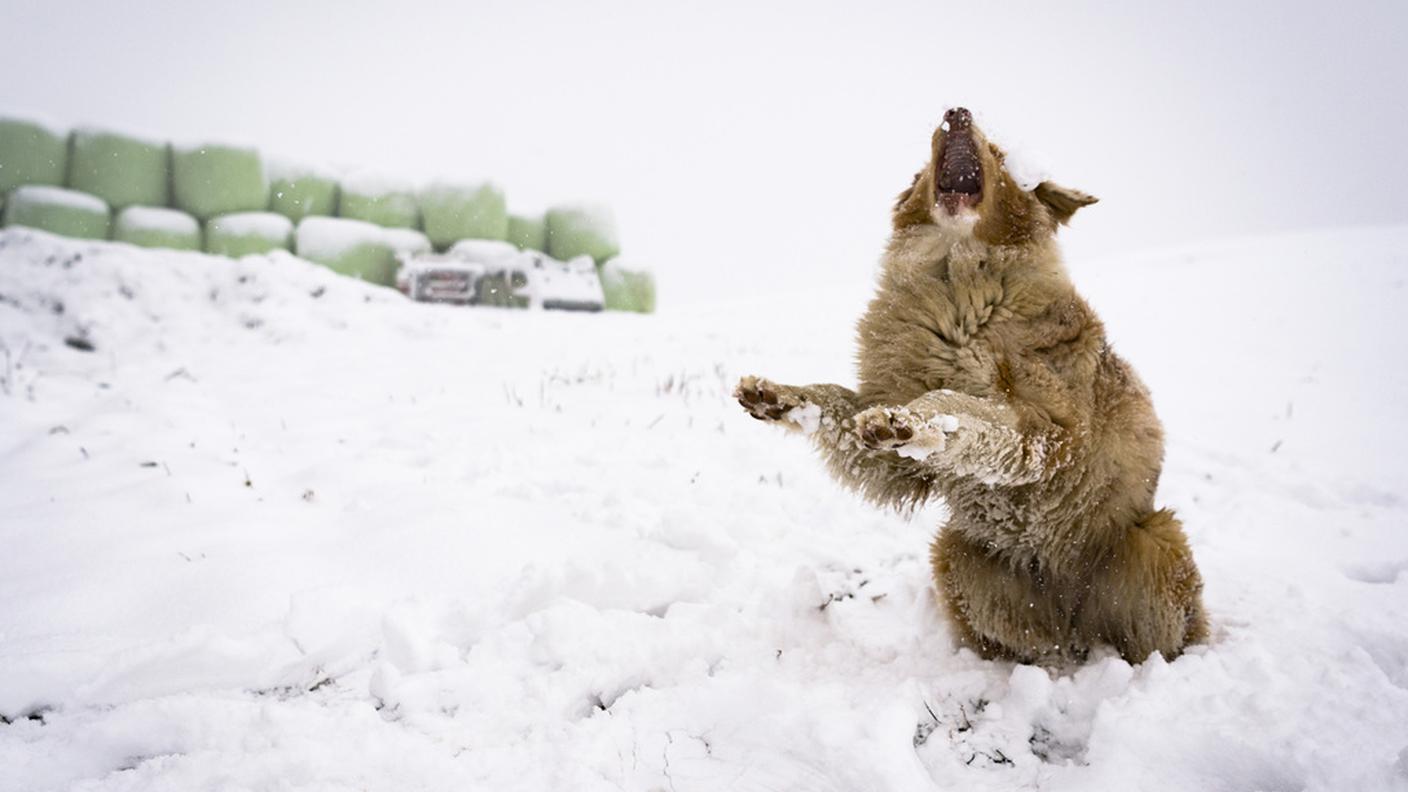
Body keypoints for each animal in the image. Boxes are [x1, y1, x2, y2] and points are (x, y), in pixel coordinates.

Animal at [732, 104, 1205, 659]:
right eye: (925, 162)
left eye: (998, 153)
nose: (956, 111)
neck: (954, 278)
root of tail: (1070, 616)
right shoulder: (904, 469)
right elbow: (835, 401)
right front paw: (776, 396)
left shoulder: (1046, 430)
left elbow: (956, 404)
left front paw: (906, 420)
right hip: (956, 552)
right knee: (1027, 641)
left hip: (1156, 539)